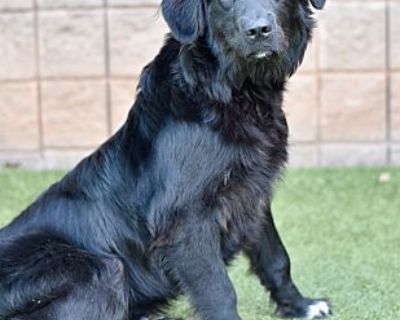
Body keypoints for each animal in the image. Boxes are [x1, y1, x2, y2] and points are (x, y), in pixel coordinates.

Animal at [0, 0, 332, 320]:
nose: (258, 30)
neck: (227, 89)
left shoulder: (253, 193)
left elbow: (276, 257)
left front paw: (300, 305)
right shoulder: (184, 221)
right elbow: (219, 290)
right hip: (100, 268)